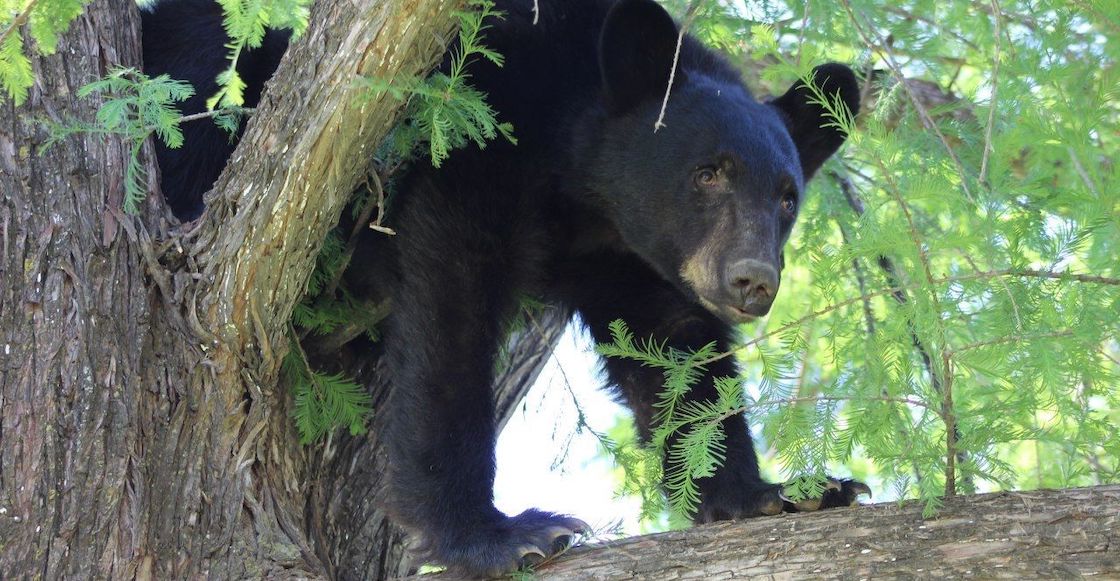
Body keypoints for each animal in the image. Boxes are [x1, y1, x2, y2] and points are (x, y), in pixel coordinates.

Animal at [142, 0, 864, 573]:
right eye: (708, 172)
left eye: (787, 197)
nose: (752, 279)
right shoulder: (479, 127)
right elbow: (452, 307)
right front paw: (501, 533)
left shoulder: (629, 256)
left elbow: (677, 352)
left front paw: (771, 492)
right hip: (206, 76)